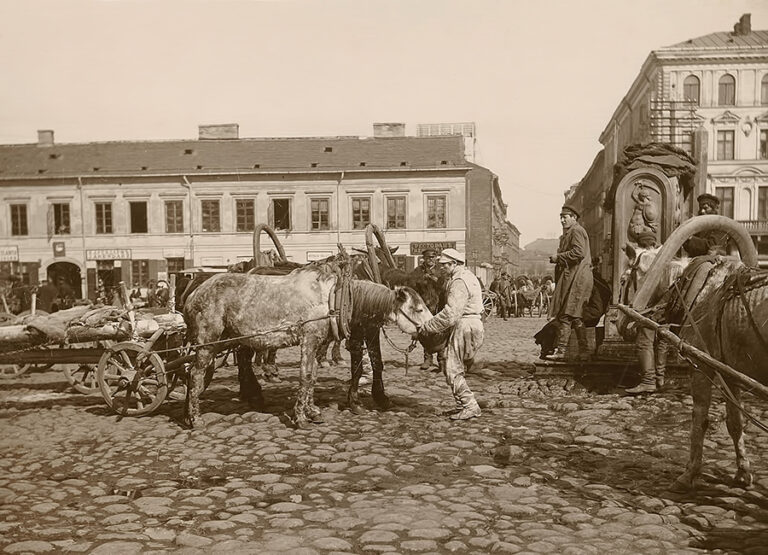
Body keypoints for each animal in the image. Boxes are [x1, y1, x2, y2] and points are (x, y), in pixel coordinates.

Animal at [182, 256, 432, 430]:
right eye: (418, 309)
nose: (433, 330)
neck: (333, 298)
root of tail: (192, 294)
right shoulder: (309, 339)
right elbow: (305, 376)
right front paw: (301, 418)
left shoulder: (318, 342)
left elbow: (313, 376)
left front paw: (313, 412)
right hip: (207, 342)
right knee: (195, 374)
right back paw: (196, 418)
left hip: (228, 340)